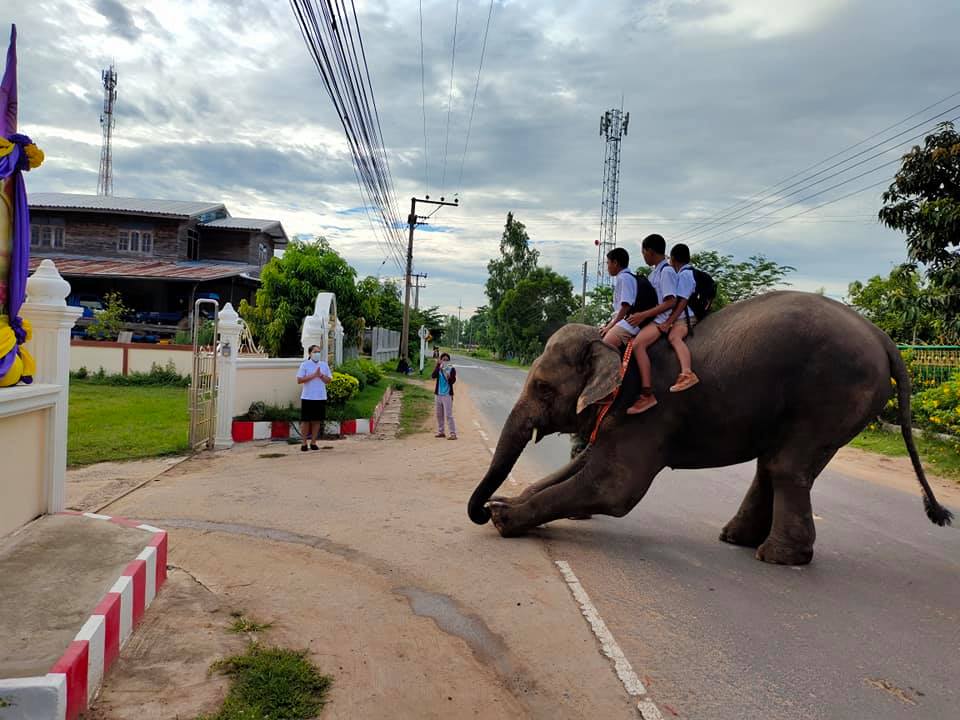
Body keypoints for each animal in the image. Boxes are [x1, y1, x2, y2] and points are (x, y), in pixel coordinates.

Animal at [466, 290, 952, 564]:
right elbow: (582, 466)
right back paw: (737, 539)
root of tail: (885, 339)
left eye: (544, 387)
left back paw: (777, 557)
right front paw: (510, 502)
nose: (482, 508)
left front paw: (504, 518)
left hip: (832, 395)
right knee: (775, 463)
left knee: (786, 465)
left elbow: (614, 486)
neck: (614, 344)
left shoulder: (649, 411)